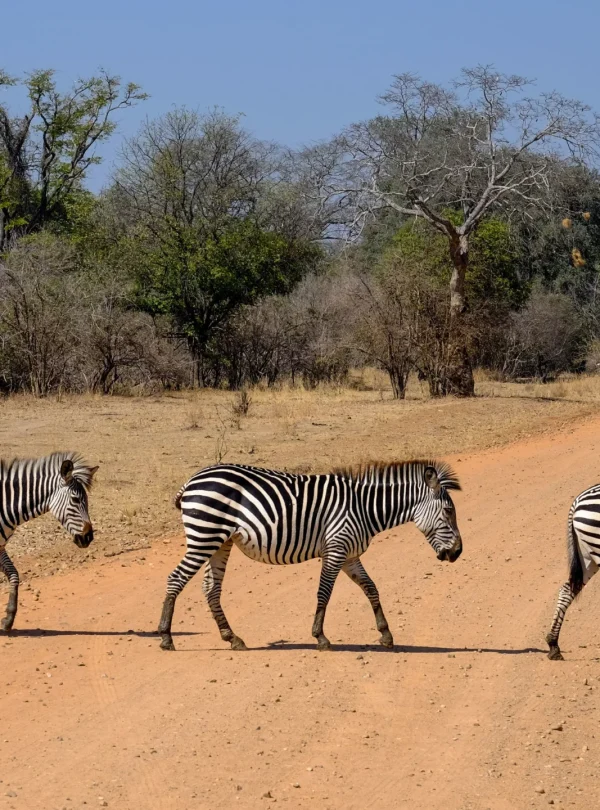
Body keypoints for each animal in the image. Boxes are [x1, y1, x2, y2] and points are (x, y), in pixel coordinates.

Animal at [0, 452, 98, 633]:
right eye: (75, 500)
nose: (88, 537)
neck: (4, 504)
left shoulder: (0, 546)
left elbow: (14, 574)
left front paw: (8, 619)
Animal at [158, 459, 462, 652]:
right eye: (449, 511)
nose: (458, 553)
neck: (364, 508)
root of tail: (192, 480)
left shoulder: (350, 555)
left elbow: (371, 588)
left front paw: (386, 635)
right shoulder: (336, 548)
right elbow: (324, 592)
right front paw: (321, 638)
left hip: (220, 542)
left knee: (211, 588)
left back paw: (232, 638)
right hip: (204, 535)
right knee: (175, 579)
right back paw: (166, 638)